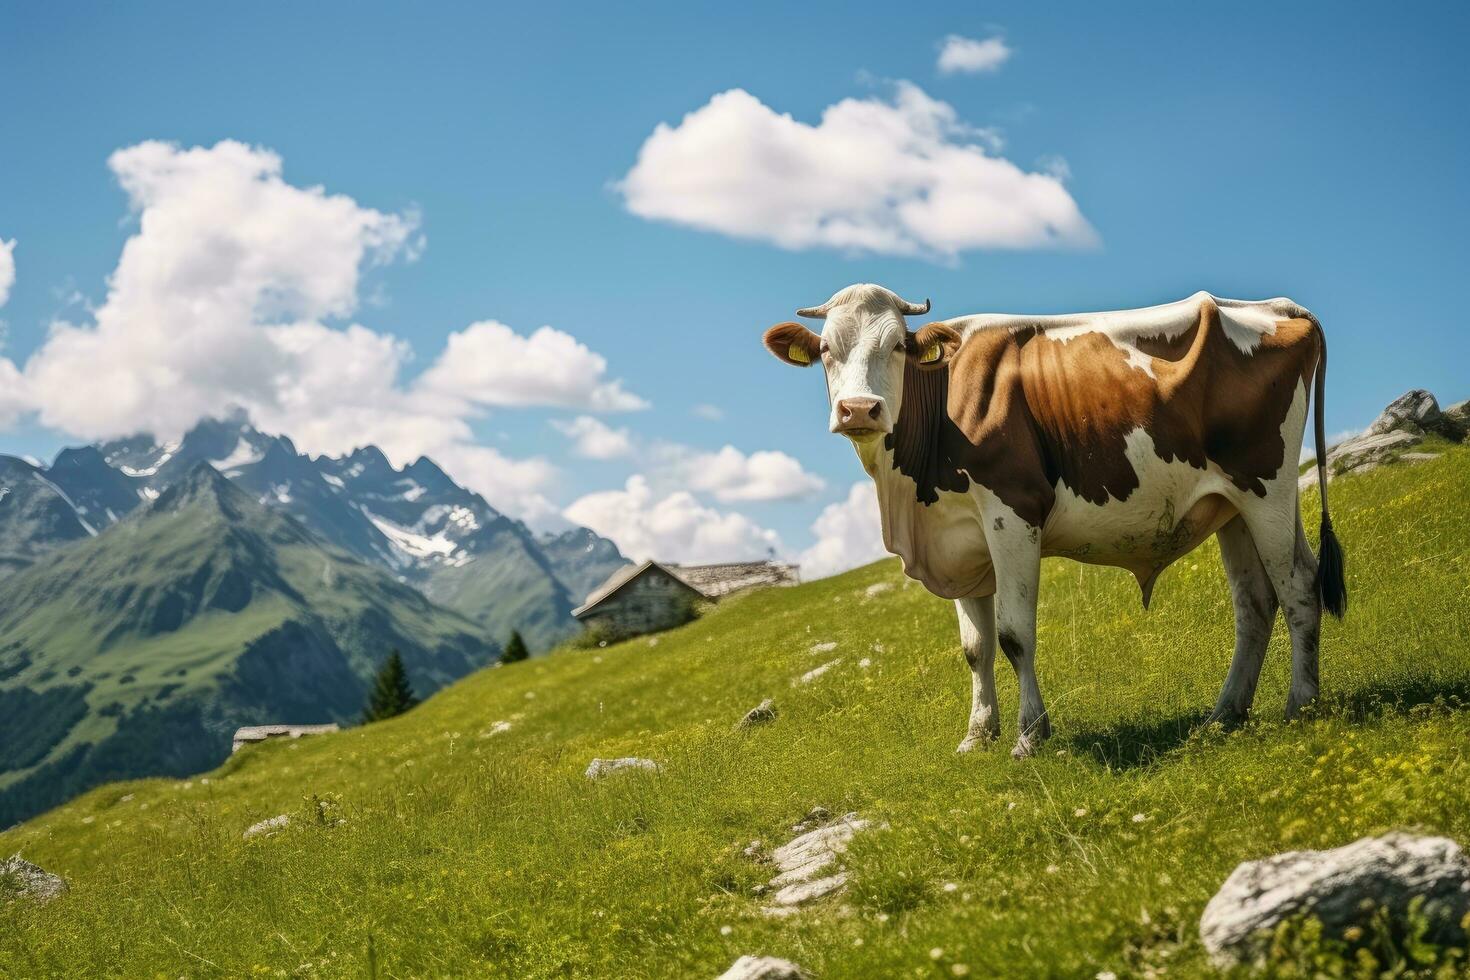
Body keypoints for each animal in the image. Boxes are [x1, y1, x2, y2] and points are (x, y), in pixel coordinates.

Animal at [764, 283, 1346, 758]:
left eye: (898, 348)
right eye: (825, 351)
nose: (860, 409)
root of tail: (1275, 305)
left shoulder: (1012, 512)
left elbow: (1013, 635)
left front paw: (1029, 736)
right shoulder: (960, 541)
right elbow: (974, 648)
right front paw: (978, 736)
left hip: (1267, 485)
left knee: (1298, 585)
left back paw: (1300, 705)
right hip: (1233, 506)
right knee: (1254, 603)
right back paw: (1224, 715)